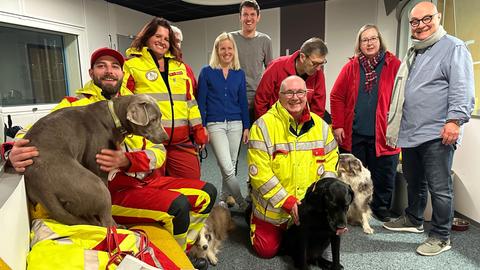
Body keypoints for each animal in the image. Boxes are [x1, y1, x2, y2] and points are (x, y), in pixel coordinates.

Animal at [22, 94, 169, 227]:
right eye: (153, 119)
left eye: (160, 117)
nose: (166, 137)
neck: (114, 116)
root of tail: (41, 186)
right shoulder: (98, 164)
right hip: (93, 185)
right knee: (106, 221)